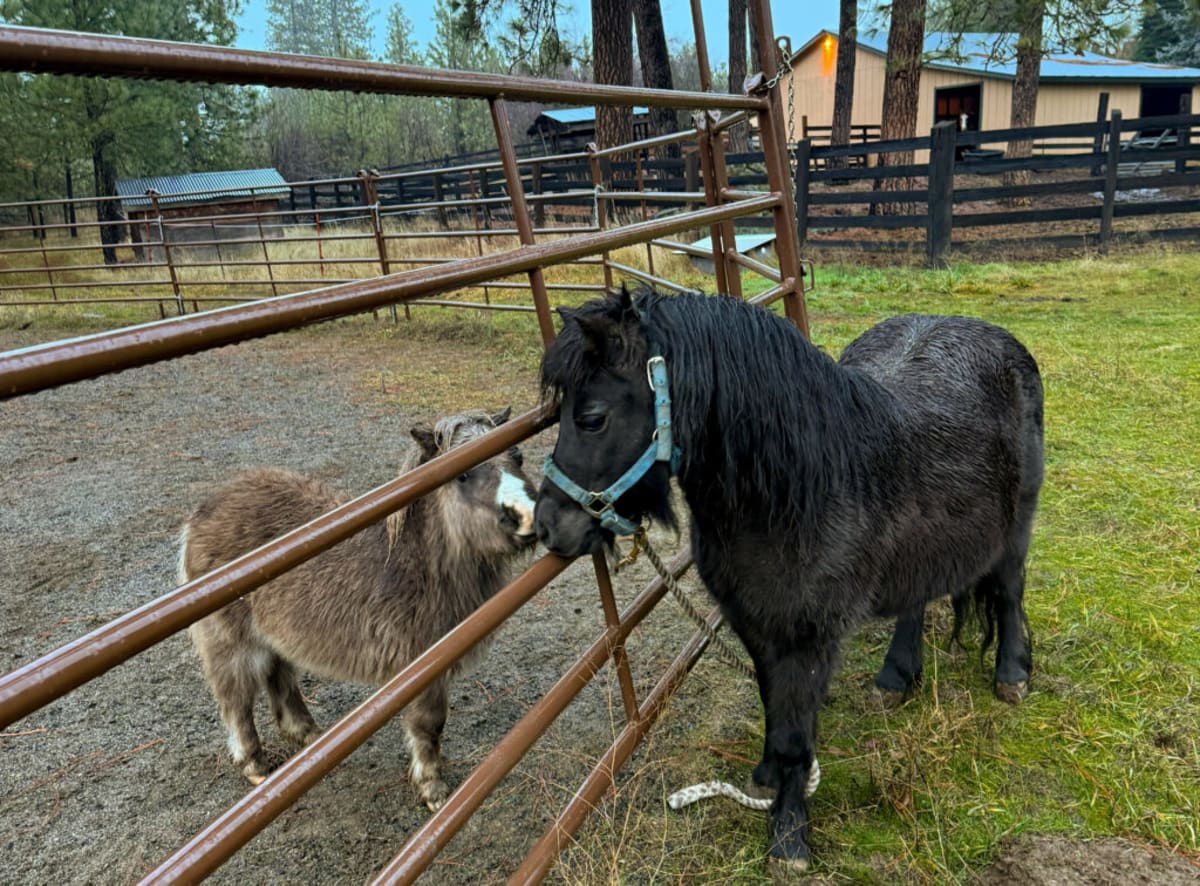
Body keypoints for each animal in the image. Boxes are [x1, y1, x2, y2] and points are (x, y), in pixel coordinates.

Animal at [180, 409, 537, 810]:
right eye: (462, 473)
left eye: (518, 455)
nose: (527, 515)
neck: (417, 565)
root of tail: (205, 511)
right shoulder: (423, 668)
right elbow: (429, 725)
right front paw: (433, 789)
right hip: (232, 644)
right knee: (235, 700)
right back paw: (256, 765)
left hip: (274, 636)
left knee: (279, 679)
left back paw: (310, 739)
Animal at [534, 286, 1044, 872]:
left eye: (592, 418)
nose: (547, 526)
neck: (795, 492)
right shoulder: (753, 623)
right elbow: (773, 705)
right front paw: (768, 779)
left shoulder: (809, 636)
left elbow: (796, 732)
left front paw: (789, 835)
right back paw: (896, 678)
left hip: (1016, 527)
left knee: (1008, 592)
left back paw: (1011, 675)